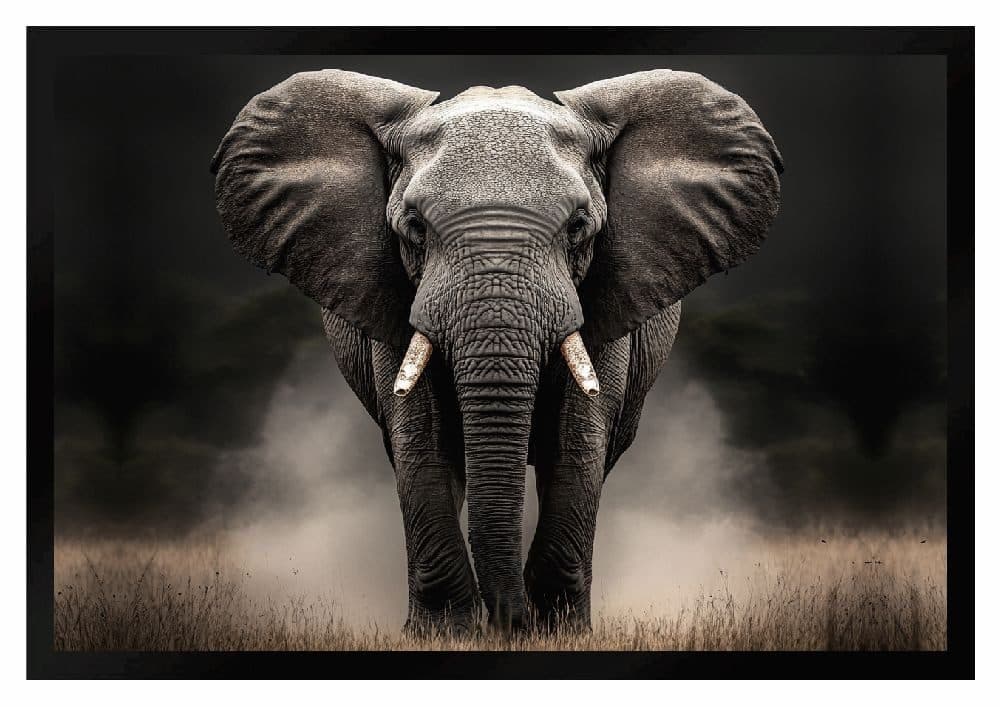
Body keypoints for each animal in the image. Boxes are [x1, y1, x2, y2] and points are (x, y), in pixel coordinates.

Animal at [211, 68, 782, 633]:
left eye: (578, 227)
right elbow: (423, 445)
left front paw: (555, 632)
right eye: (414, 228)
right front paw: (443, 634)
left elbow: (577, 445)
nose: (509, 623)